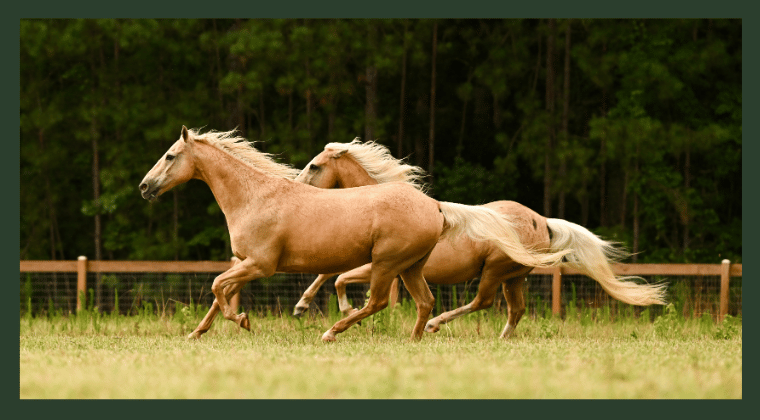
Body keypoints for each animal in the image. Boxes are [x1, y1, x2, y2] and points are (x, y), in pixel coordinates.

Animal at [139, 127, 568, 342]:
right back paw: (415, 339)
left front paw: (242, 321)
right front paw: (197, 333)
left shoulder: (260, 265)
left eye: (170, 156)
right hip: (414, 268)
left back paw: (334, 331)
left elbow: (217, 288)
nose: (145, 187)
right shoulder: (246, 264)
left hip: (389, 265)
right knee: (428, 302)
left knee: (381, 302)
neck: (254, 195)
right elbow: (218, 293)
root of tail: (435, 207)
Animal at [292, 140, 668, 338]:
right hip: (514, 277)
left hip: (495, 272)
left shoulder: (379, 266)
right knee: (516, 309)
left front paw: (339, 310)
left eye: (315, 166)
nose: (296, 185)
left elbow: (338, 278)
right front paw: (303, 306)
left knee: (483, 302)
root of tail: (542, 221)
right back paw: (502, 339)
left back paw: (436, 324)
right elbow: (329, 274)